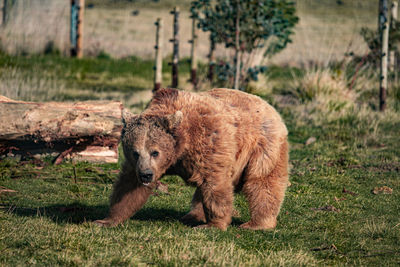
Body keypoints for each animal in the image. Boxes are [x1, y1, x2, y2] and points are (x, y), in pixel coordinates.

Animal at [95, 88, 290, 230]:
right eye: (135, 152)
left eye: (154, 152)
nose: (146, 174)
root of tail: (269, 107)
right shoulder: (137, 166)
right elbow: (128, 188)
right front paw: (106, 220)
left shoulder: (209, 141)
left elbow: (215, 183)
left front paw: (213, 225)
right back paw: (193, 215)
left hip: (262, 146)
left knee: (262, 183)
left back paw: (256, 223)